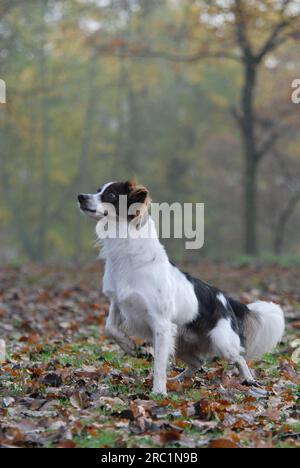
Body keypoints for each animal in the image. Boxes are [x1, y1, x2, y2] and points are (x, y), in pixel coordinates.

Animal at [78, 181, 286, 394]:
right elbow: (109, 327)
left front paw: (158, 392)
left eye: (111, 195)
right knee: (198, 362)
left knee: (239, 357)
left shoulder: (161, 325)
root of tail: (224, 298)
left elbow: (159, 364)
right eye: (98, 190)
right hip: (180, 342)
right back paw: (178, 380)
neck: (126, 253)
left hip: (221, 341)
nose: (81, 197)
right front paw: (128, 345)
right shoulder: (118, 303)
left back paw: (249, 380)